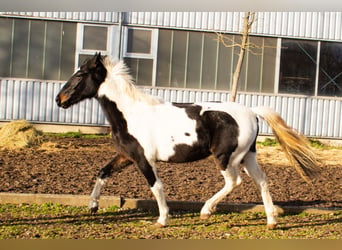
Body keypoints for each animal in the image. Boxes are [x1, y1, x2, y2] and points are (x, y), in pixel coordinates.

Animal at [56, 52, 320, 229]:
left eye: (81, 73)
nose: (60, 100)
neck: (130, 114)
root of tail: (252, 112)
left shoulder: (143, 158)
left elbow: (156, 186)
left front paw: (162, 219)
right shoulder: (126, 155)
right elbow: (103, 172)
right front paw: (92, 206)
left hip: (226, 158)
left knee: (233, 182)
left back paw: (206, 211)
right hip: (248, 157)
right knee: (262, 181)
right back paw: (271, 221)